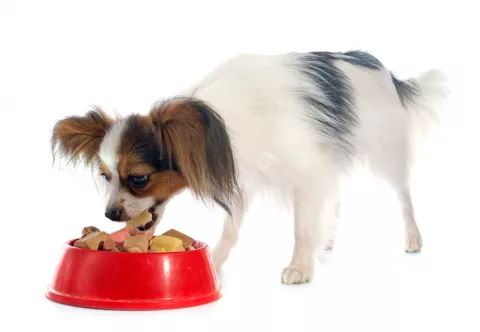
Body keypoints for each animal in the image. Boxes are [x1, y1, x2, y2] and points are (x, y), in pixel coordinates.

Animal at [50, 50, 448, 284]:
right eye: (105, 177)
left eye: (138, 178)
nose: (110, 214)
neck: (218, 132)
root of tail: (384, 69)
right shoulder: (241, 177)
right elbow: (231, 231)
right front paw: (215, 262)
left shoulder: (305, 173)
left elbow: (302, 228)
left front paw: (300, 267)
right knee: (335, 196)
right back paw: (329, 240)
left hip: (387, 151)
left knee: (403, 196)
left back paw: (413, 238)